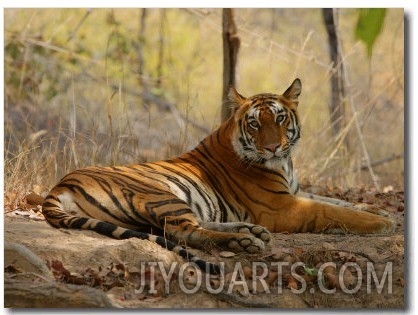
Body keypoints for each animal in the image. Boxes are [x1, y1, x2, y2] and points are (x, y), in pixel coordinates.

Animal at [40, 78, 394, 274]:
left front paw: (379, 209)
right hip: (161, 194)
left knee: (190, 225)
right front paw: (383, 223)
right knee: (184, 231)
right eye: (255, 123)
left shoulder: (294, 192)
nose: (273, 147)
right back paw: (243, 239)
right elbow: (332, 210)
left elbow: (336, 200)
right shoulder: (283, 207)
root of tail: (61, 184)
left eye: (280, 118)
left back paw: (251, 231)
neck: (285, 163)